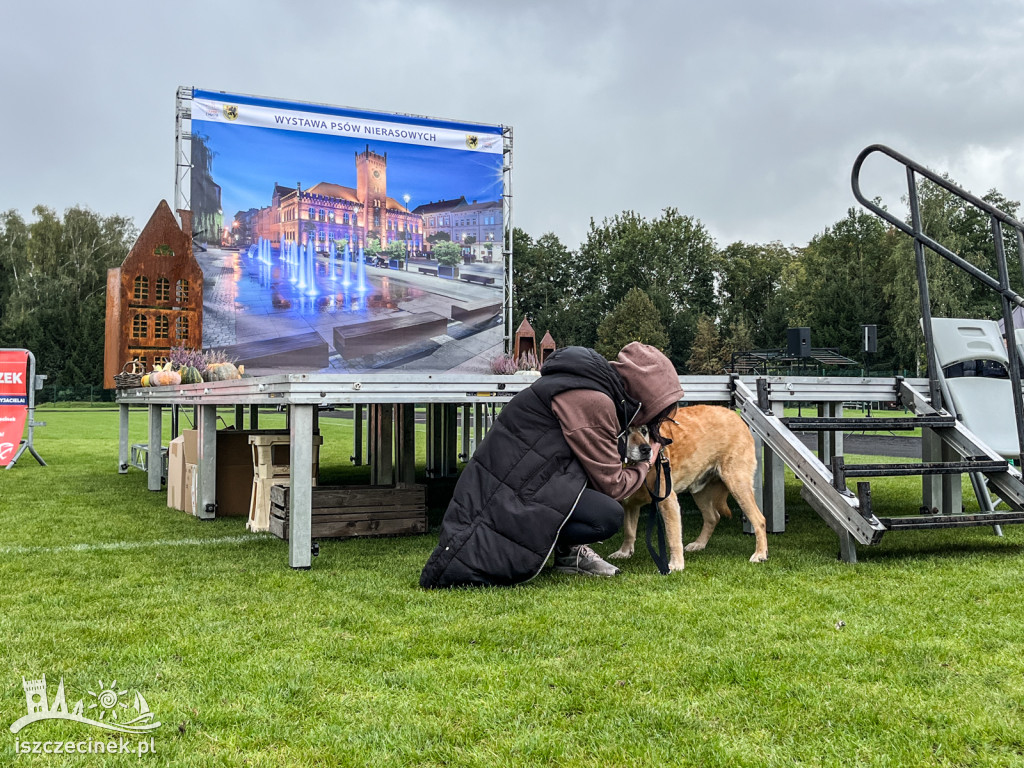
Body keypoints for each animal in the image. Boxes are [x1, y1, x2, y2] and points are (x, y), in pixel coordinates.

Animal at [606, 409, 770, 573]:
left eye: (644, 431)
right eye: (624, 432)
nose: (646, 449)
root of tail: (733, 414)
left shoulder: (668, 501)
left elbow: (673, 536)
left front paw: (676, 564)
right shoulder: (630, 505)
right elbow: (629, 531)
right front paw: (624, 552)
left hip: (737, 483)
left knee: (760, 519)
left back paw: (760, 554)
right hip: (699, 491)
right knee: (713, 517)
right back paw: (699, 544)